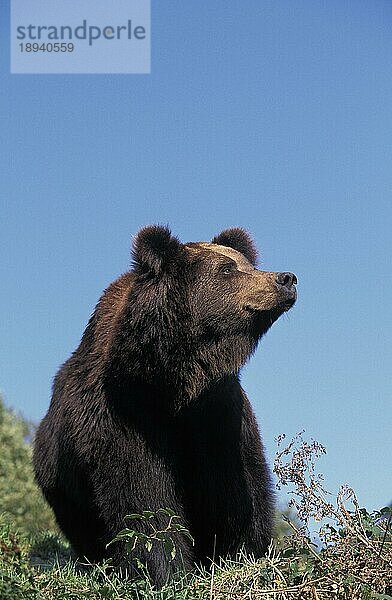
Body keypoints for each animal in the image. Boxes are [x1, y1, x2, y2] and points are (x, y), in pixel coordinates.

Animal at [33, 225, 298, 584]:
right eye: (226, 270)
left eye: (248, 264)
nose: (285, 279)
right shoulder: (125, 414)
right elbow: (143, 495)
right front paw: (165, 568)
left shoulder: (218, 413)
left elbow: (236, 490)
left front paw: (242, 554)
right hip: (62, 480)